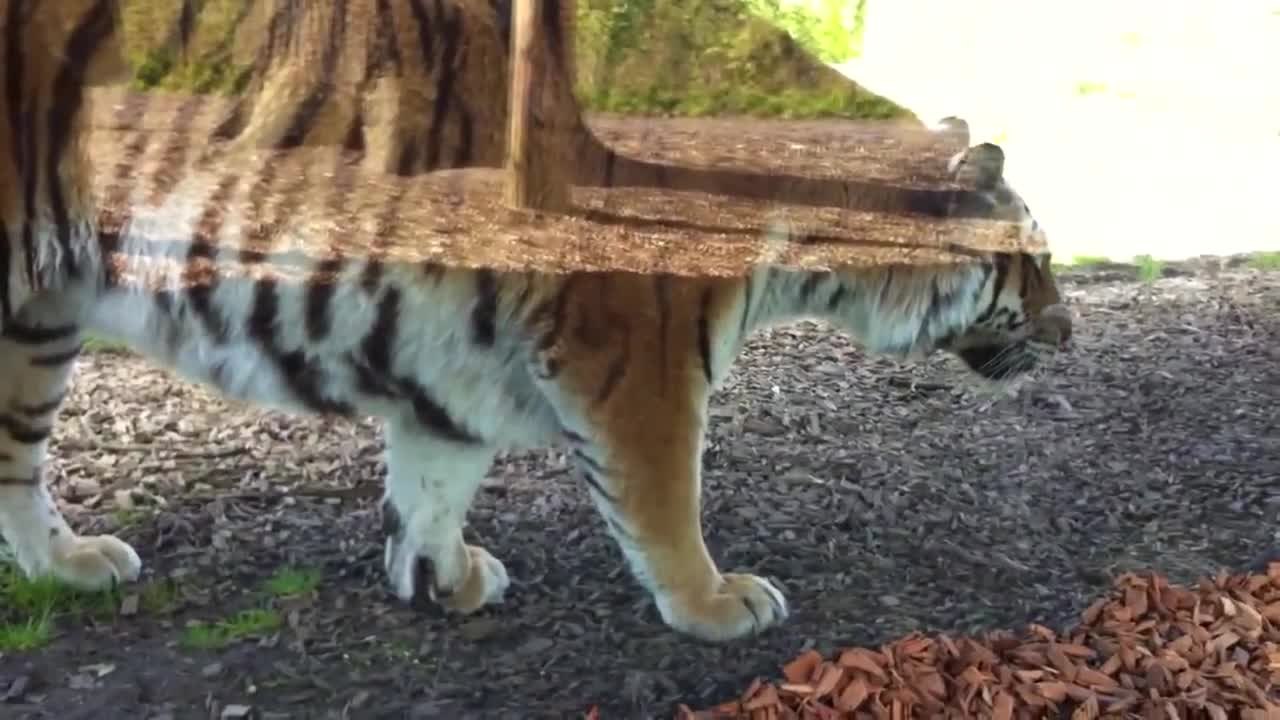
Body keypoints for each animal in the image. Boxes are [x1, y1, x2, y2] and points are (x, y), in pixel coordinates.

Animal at [0, 0, 1072, 643]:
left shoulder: (449, 366)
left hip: (42, 313)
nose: (1068, 334)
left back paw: (68, 566)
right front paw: (713, 602)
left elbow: (434, 482)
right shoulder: (639, 363)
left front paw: (439, 578)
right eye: (1034, 257)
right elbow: (665, 500)